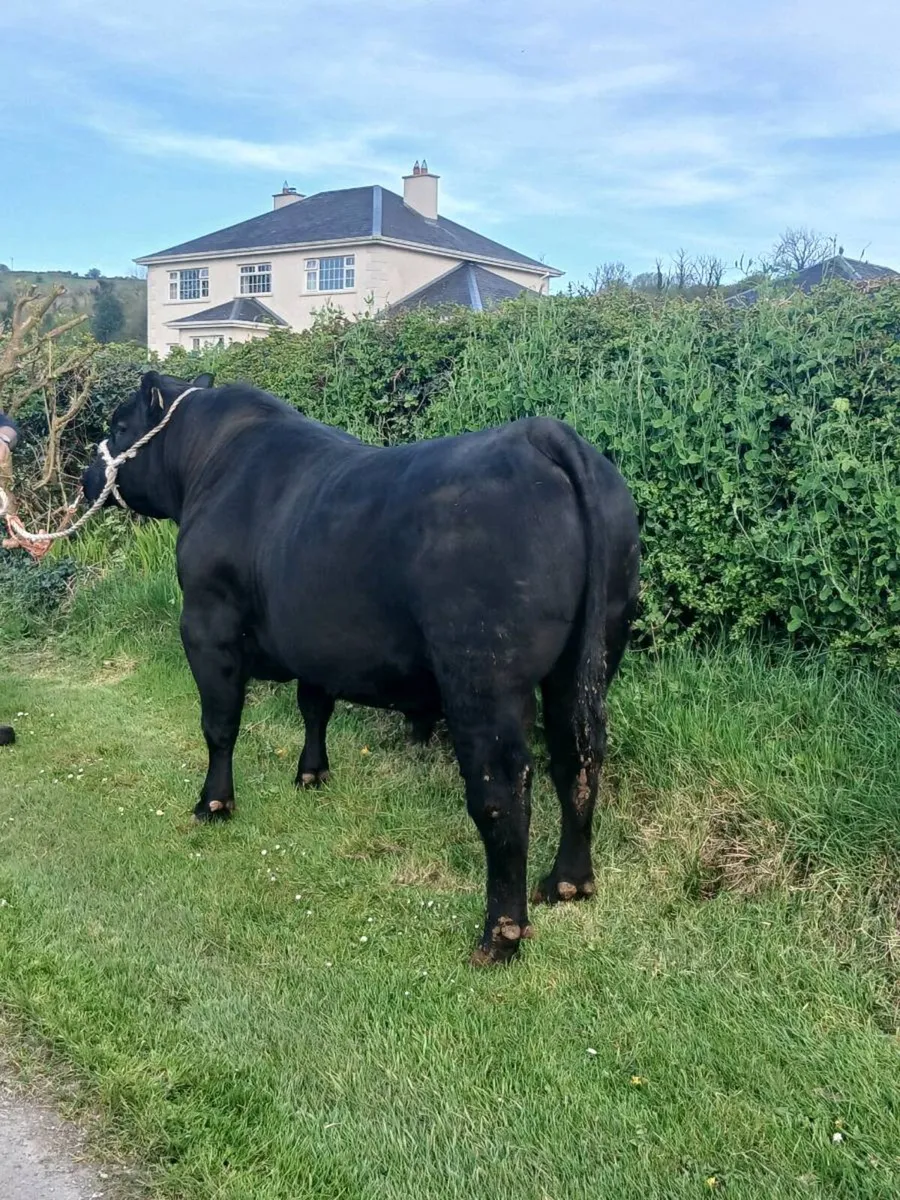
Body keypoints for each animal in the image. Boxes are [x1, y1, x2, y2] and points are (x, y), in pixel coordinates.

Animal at [83, 371, 640, 965]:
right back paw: (568, 882)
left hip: (485, 677)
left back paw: (499, 934)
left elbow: (220, 724)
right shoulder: (314, 640)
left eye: (120, 424)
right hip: (586, 662)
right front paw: (312, 774)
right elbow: (314, 705)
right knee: (578, 757)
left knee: (504, 791)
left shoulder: (207, 625)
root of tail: (544, 434)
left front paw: (214, 803)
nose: (89, 474)